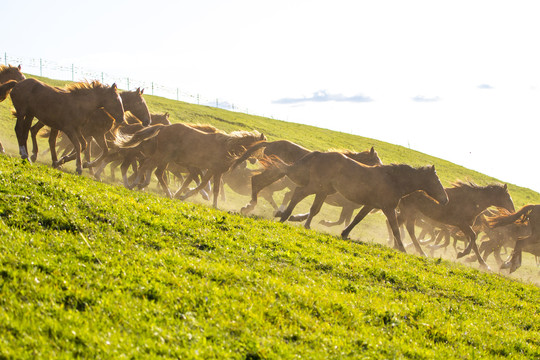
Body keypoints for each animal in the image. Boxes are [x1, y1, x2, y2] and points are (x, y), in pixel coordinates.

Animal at [116, 122, 266, 207]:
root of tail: (165, 127)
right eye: (261, 148)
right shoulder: (213, 170)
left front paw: (187, 196)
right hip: (163, 156)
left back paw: (140, 185)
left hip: (164, 158)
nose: (255, 161)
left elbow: (206, 186)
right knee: (149, 168)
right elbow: (206, 186)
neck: (227, 147)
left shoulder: (213, 171)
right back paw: (139, 185)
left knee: (152, 169)